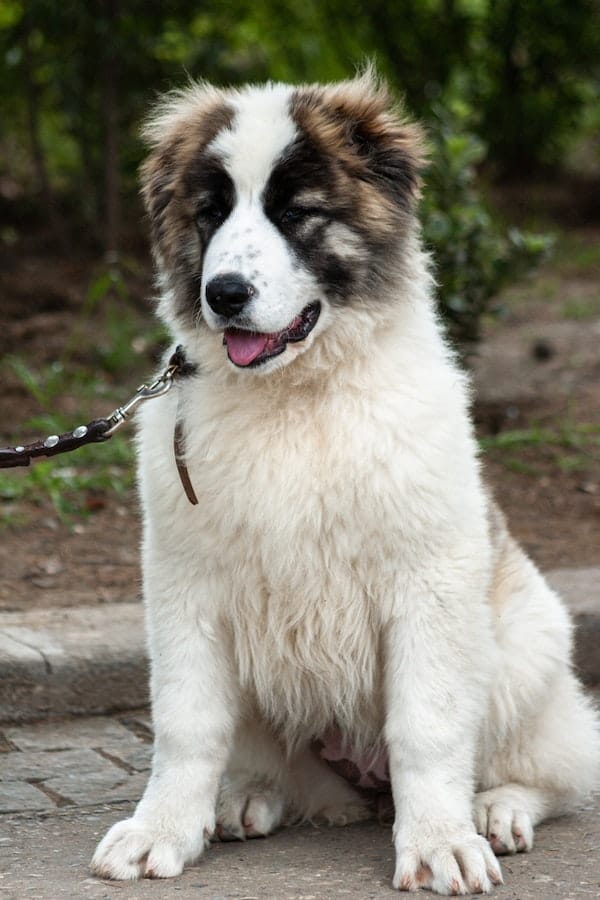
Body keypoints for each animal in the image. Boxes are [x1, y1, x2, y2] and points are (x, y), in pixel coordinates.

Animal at [90, 72, 600, 892]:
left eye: (297, 213)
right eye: (211, 213)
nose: (224, 292)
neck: (298, 398)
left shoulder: (428, 583)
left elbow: (426, 727)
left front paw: (439, 843)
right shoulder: (185, 584)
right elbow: (187, 724)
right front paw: (160, 829)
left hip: (526, 648)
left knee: (557, 769)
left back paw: (497, 810)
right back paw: (246, 797)